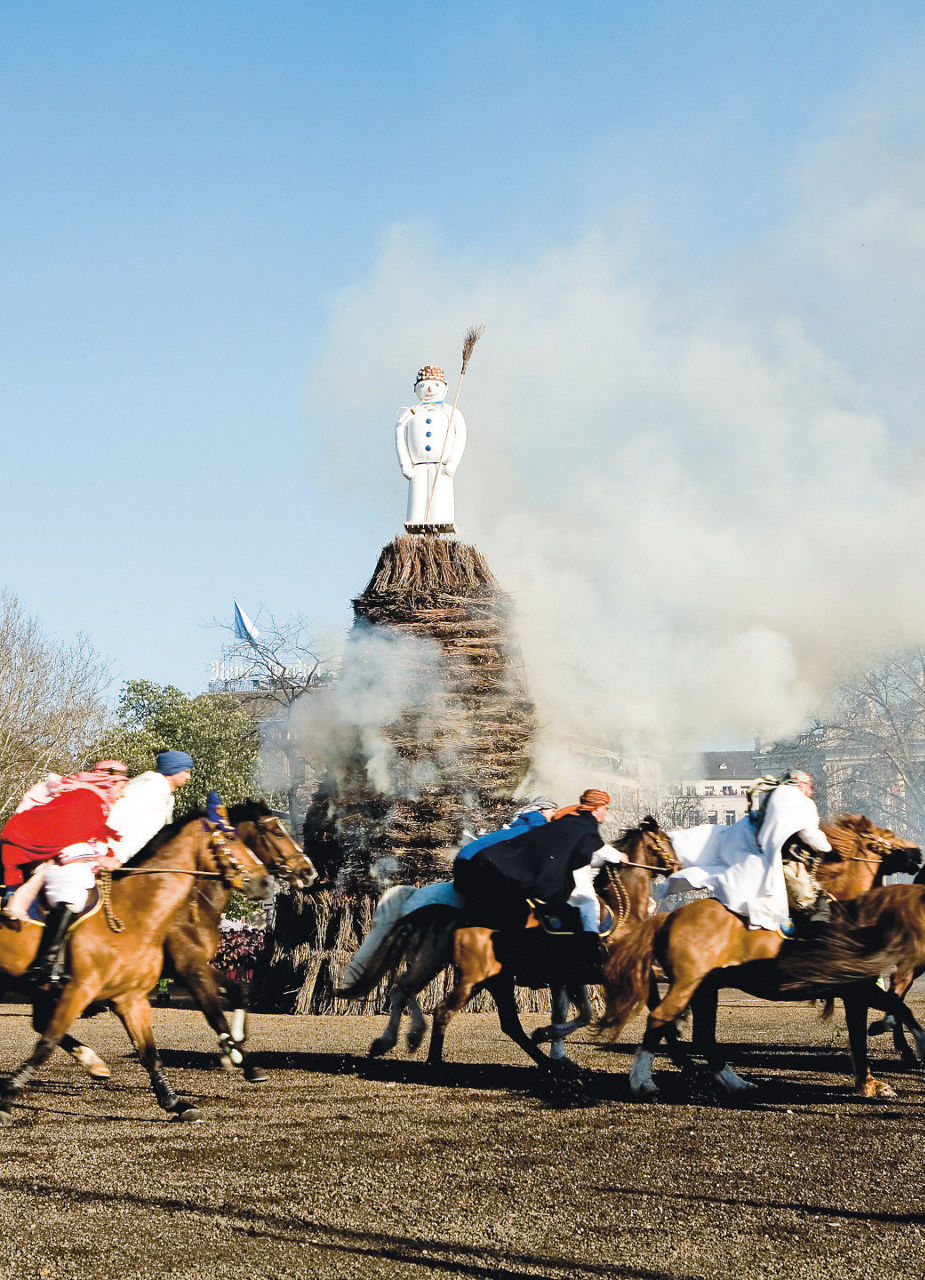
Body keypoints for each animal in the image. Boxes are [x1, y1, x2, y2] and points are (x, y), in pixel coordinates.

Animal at [0, 808, 273, 1121]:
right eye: (229, 838)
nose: (265, 881)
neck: (136, 911)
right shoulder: (82, 988)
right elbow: (46, 1044)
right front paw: (7, 1098)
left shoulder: (131, 998)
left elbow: (150, 1053)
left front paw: (175, 1102)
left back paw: (94, 1063)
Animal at [57, 803, 318, 1085]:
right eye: (277, 832)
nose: (309, 870)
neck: (192, 905)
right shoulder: (188, 968)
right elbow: (214, 1014)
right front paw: (244, 1062)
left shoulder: (197, 965)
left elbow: (238, 991)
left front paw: (232, 1050)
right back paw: (90, 1058)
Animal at [427, 819, 680, 1070]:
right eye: (666, 840)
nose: (677, 867)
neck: (621, 911)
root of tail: (465, 919)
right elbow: (585, 1015)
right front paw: (545, 1034)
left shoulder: (577, 978)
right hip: (476, 979)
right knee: (444, 1012)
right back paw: (434, 1062)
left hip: (496, 981)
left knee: (508, 1024)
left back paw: (547, 1062)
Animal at [601, 808, 921, 1100]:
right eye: (888, 834)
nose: (918, 853)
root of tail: (668, 917)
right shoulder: (856, 989)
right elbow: (887, 1016)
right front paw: (885, 1072)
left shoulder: (858, 989)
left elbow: (891, 1013)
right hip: (685, 985)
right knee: (659, 1019)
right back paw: (643, 1081)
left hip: (705, 989)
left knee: (703, 1036)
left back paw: (735, 1082)